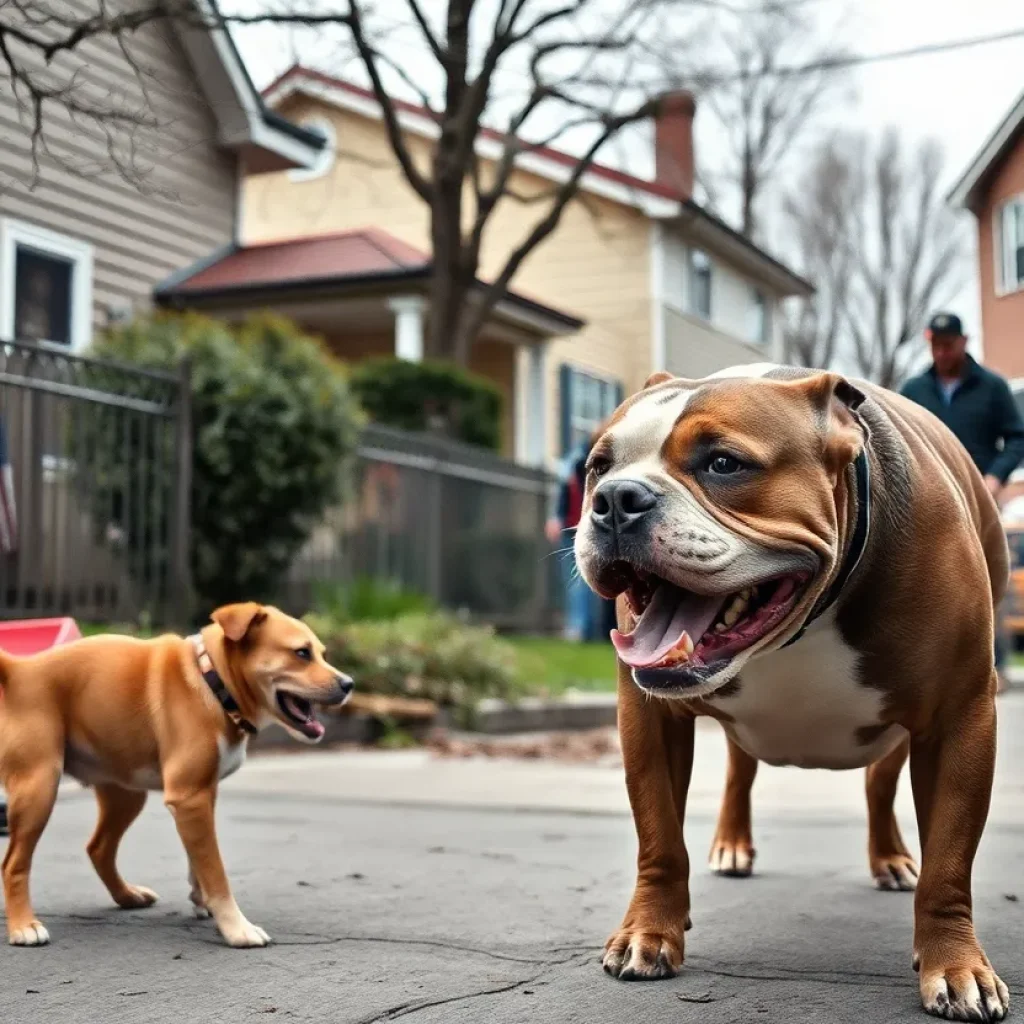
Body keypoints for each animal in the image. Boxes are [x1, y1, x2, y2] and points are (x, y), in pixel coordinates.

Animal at [0, 602, 352, 946]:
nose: (349, 684)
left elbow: (199, 861)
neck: (212, 681)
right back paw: (24, 926)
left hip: (126, 795)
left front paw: (202, 900)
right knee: (14, 863)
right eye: (302, 653)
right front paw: (236, 928)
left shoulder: (201, 796)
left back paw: (127, 896)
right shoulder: (190, 798)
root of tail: (20, 670)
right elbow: (216, 871)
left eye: (322, 653)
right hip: (39, 788)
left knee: (99, 848)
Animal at [573, 366, 1011, 1015]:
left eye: (723, 464)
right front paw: (647, 933)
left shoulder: (961, 719)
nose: (615, 500)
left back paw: (890, 859)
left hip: (899, 735)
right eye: (597, 467)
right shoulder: (650, 719)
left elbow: (949, 865)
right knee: (739, 772)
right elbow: (659, 839)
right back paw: (732, 845)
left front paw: (956, 966)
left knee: (880, 787)